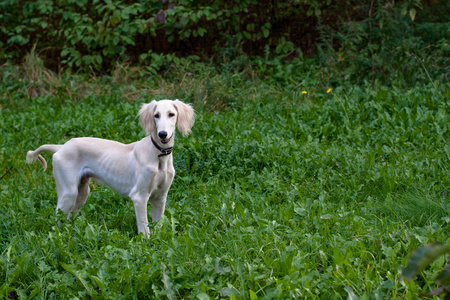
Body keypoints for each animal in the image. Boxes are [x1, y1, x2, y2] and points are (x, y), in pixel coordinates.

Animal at [26, 99, 194, 238]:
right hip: (68, 193)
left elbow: (158, 226)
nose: (162, 134)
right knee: (57, 220)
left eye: (171, 114)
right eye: (156, 115)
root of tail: (61, 147)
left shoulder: (160, 197)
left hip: (81, 193)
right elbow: (145, 230)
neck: (159, 155)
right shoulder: (139, 197)